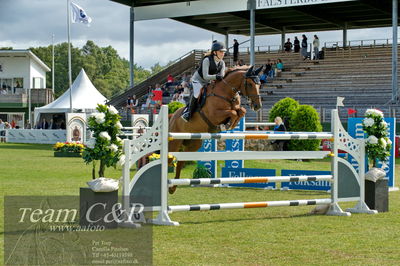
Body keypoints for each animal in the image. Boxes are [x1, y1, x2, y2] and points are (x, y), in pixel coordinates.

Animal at [168, 64, 264, 193]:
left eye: (259, 84)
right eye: (249, 84)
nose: (258, 106)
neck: (226, 92)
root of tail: (172, 116)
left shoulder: (235, 109)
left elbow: (240, 111)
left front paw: (230, 124)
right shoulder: (214, 115)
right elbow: (233, 112)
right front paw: (225, 125)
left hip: (193, 144)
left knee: (180, 162)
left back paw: (172, 188)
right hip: (175, 142)